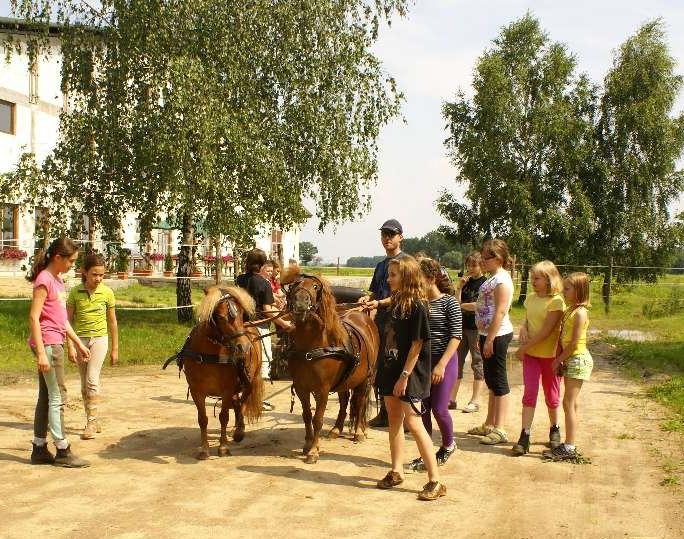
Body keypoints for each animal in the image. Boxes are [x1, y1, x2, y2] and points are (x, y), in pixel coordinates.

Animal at [175, 286, 264, 460]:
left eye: (242, 314)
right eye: (221, 317)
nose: (244, 347)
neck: (209, 354)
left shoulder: (227, 390)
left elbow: (224, 416)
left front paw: (223, 447)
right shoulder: (197, 391)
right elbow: (202, 419)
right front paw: (204, 449)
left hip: (249, 381)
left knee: (242, 403)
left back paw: (239, 431)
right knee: (237, 403)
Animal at [282, 266, 380, 464]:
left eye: (315, 287)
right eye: (295, 284)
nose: (300, 303)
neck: (311, 347)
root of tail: (362, 314)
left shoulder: (323, 389)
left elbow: (318, 419)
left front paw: (313, 451)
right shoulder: (301, 387)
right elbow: (307, 416)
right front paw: (308, 444)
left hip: (366, 379)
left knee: (360, 402)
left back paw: (359, 432)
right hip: (345, 380)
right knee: (344, 401)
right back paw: (336, 429)